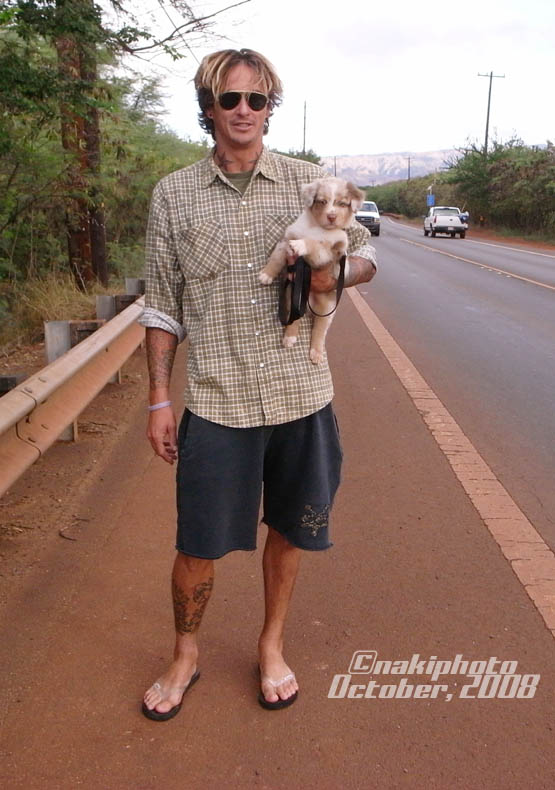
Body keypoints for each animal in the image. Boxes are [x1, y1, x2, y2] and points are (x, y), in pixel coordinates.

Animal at [259, 177, 364, 363]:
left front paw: (302, 244)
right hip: (293, 294)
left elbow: (314, 243)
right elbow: (276, 257)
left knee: (319, 330)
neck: (317, 227)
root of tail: (310, 304)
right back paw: (290, 337)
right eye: (322, 201)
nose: (331, 216)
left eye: (342, 203)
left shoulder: (326, 253)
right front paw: (266, 274)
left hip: (327, 310)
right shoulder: (286, 239)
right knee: (294, 318)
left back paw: (316, 353)